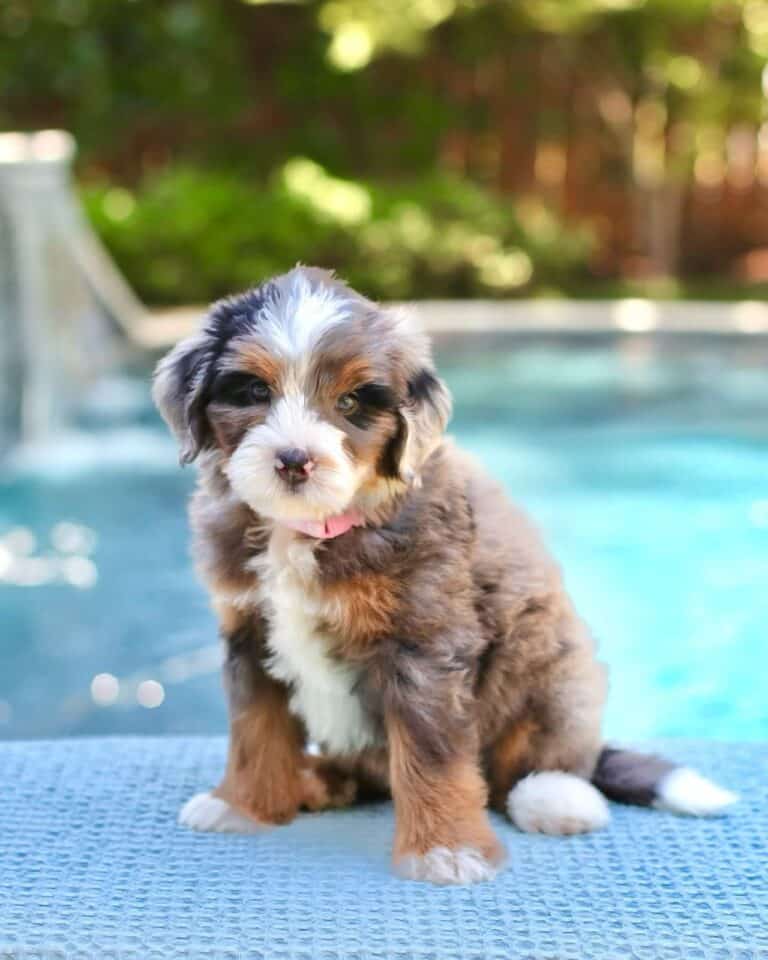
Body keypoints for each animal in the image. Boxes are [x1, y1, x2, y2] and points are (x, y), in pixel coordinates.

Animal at [154, 264, 736, 884]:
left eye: (352, 401)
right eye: (255, 392)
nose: (293, 460)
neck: (310, 529)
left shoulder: (422, 644)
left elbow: (431, 756)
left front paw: (445, 850)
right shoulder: (249, 632)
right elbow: (254, 731)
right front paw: (241, 806)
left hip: (555, 670)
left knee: (537, 763)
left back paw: (555, 798)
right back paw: (317, 780)